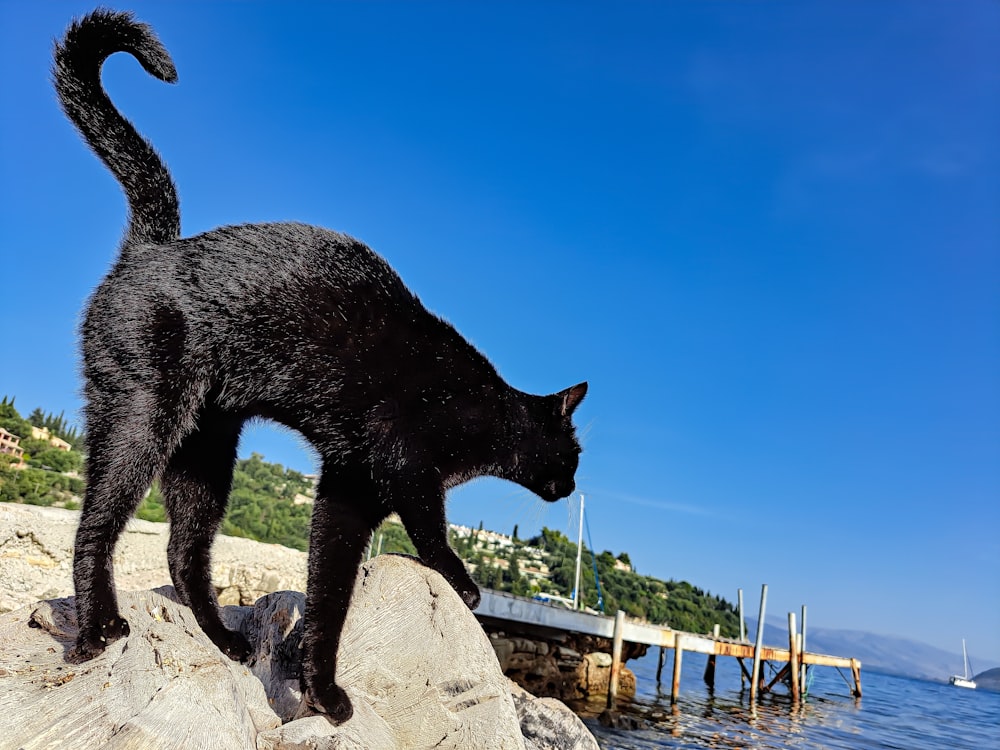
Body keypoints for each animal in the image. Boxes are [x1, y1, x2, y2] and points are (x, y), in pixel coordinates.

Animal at [52, 8, 584, 724]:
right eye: (575, 453)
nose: (574, 484)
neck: (485, 409)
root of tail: (152, 247)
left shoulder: (348, 489)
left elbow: (329, 594)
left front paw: (320, 689)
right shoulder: (403, 465)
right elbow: (431, 530)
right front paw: (462, 582)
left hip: (205, 452)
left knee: (183, 550)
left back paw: (224, 640)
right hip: (141, 414)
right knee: (96, 527)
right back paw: (96, 631)